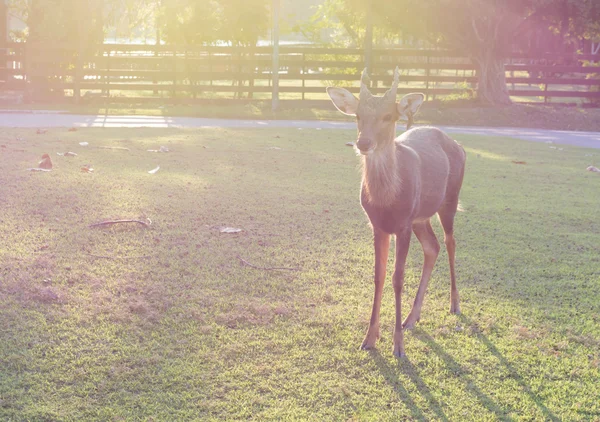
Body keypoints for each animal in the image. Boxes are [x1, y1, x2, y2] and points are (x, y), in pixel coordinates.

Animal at [326, 67, 466, 358]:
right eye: (358, 115)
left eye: (388, 116)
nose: (363, 142)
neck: (386, 201)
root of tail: (459, 146)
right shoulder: (377, 225)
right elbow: (378, 276)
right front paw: (369, 338)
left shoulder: (402, 225)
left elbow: (397, 278)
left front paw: (398, 346)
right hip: (420, 217)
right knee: (432, 246)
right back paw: (412, 318)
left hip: (450, 199)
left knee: (450, 242)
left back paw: (454, 304)